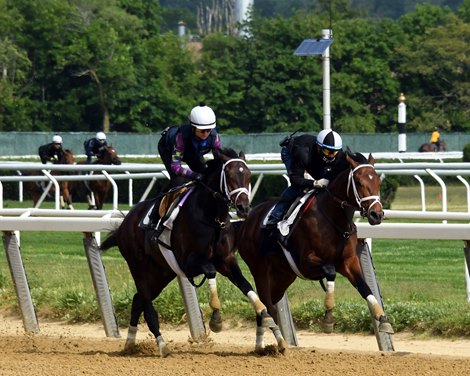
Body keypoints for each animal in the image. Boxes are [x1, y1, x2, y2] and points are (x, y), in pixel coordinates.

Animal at [99, 148, 276, 356]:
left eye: (248, 175)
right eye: (230, 176)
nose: (244, 207)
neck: (211, 218)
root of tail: (124, 224)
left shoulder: (226, 259)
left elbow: (245, 284)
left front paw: (268, 319)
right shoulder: (188, 262)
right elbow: (210, 271)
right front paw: (216, 319)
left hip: (162, 272)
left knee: (137, 301)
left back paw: (130, 344)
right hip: (138, 267)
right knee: (147, 308)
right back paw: (162, 346)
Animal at [235, 151, 392, 354]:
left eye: (377, 180)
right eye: (358, 181)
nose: (376, 214)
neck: (334, 219)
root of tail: (246, 221)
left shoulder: (349, 262)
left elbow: (365, 288)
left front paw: (383, 319)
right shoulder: (306, 263)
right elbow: (330, 271)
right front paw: (328, 317)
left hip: (284, 275)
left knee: (267, 304)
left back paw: (264, 344)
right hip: (259, 269)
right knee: (266, 304)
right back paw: (275, 343)